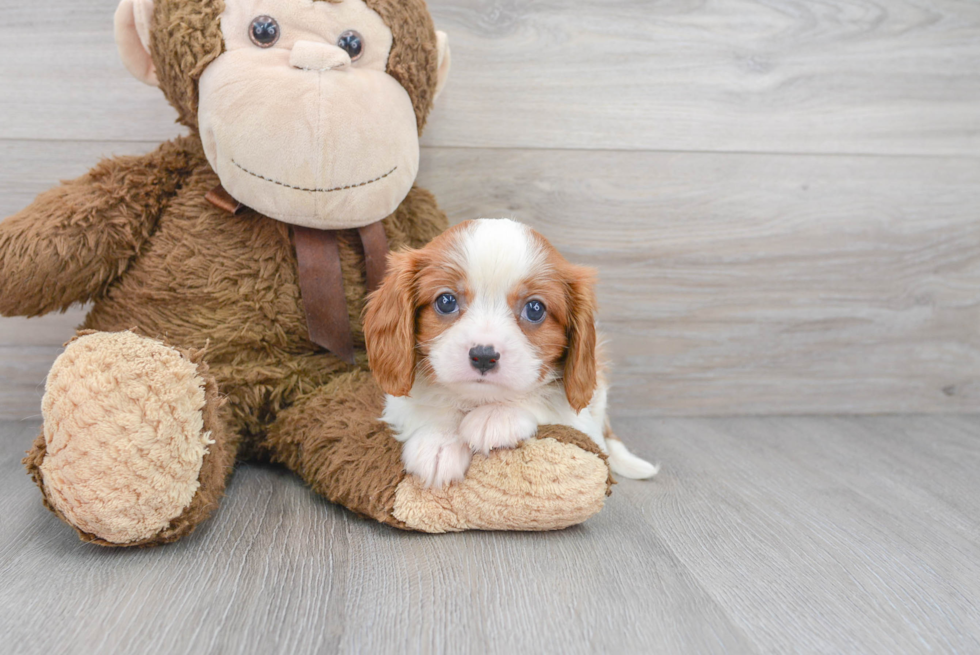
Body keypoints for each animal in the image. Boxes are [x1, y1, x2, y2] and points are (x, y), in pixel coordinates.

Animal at [362, 219, 660, 486]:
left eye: (535, 309)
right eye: (446, 301)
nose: (484, 355)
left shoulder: (582, 419)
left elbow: (544, 399)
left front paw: (496, 416)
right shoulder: (397, 404)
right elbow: (431, 405)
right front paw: (439, 440)